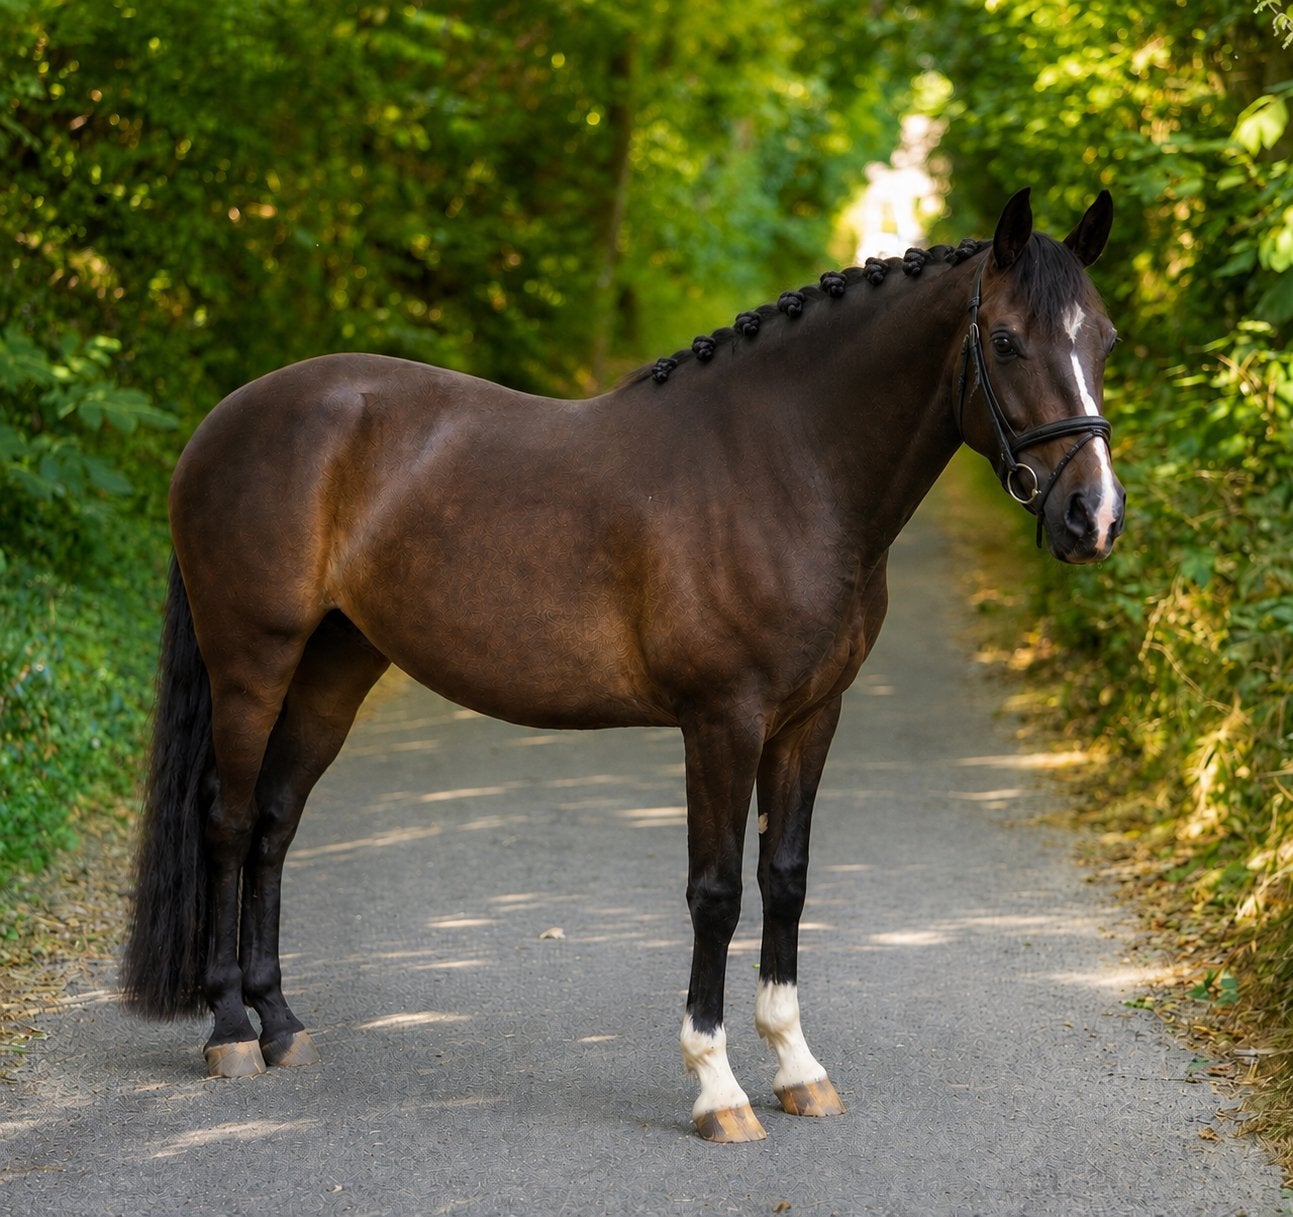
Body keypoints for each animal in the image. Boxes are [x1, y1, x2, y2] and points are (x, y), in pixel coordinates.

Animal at [122, 188, 1124, 1143]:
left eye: (1103, 339)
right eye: (1006, 340)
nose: (1094, 516)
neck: (785, 466)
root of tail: (223, 418)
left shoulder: (809, 717)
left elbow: (786, 877)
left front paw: (797, 1069)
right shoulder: (722, 720)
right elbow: (716, 893)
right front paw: (717, 1088)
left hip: (335, 666)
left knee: (276, 822)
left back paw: (282, 1022)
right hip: (252, 661)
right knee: (228, 820)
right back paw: (230, 1031)